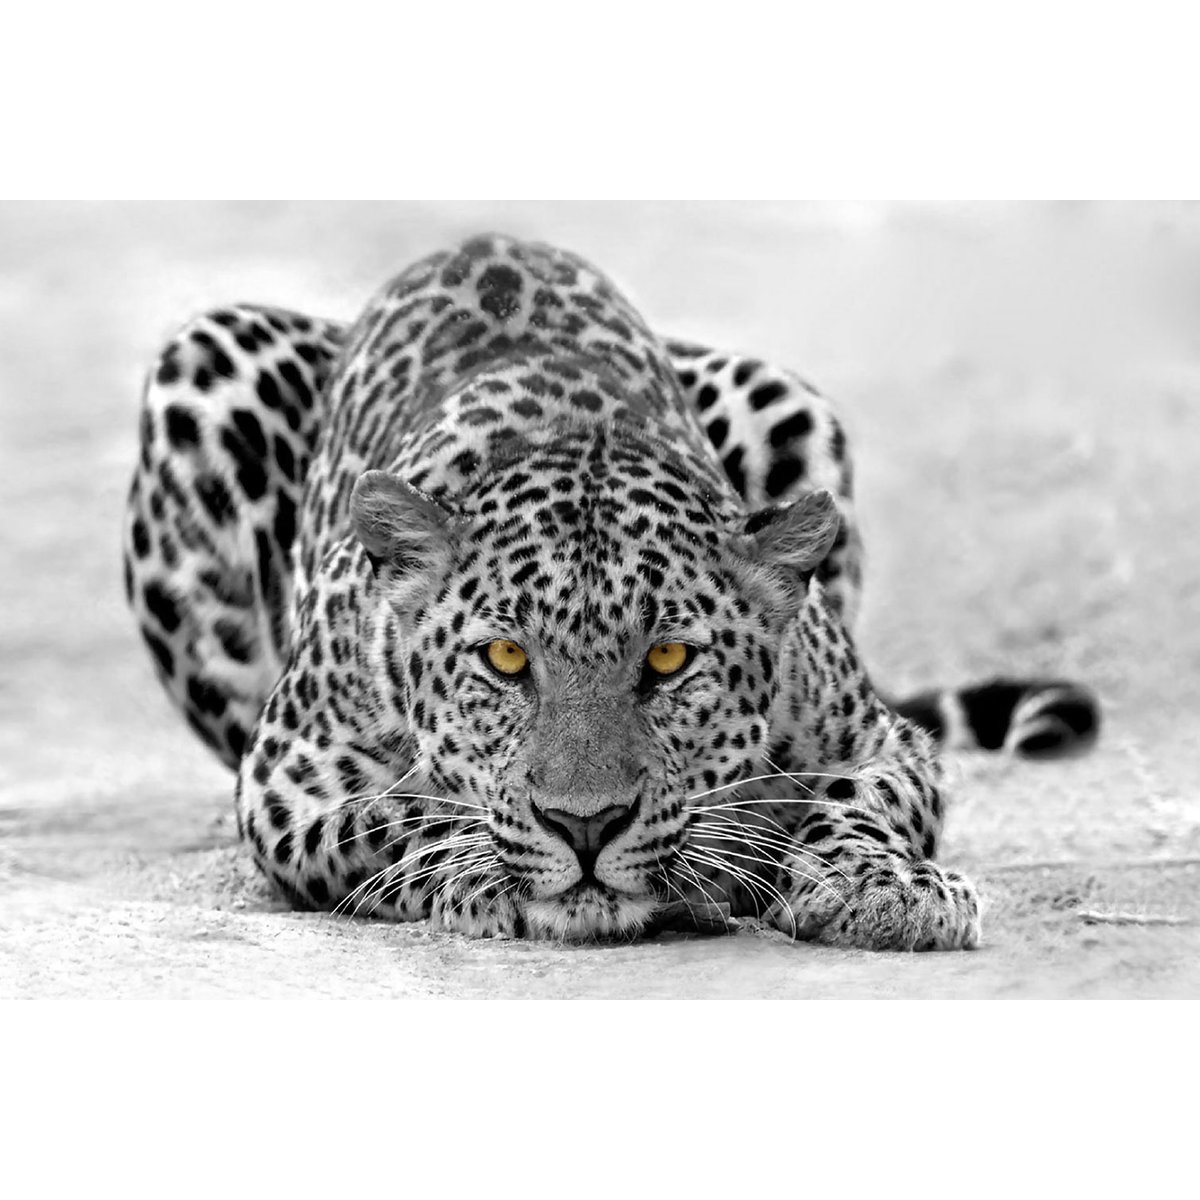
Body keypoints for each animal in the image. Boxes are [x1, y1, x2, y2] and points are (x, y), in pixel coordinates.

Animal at [122, 232, 1100, 948]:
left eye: (667, 660)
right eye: (505, 658)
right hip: (204, 365)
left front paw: (883, 885)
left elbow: (862, 804)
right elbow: (396, 816)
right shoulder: (287, 780)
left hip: (784, 396)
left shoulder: (881, 741)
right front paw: (485, 868)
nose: (585, 827)